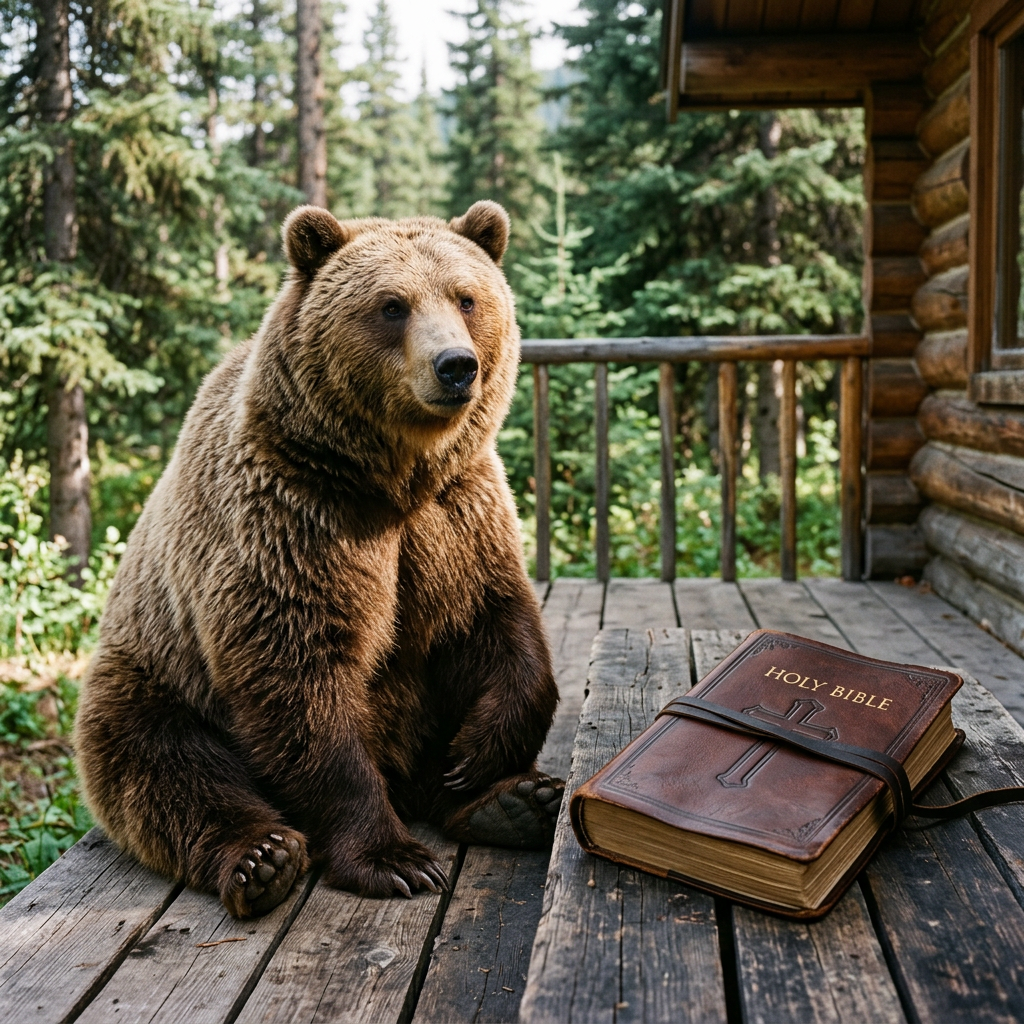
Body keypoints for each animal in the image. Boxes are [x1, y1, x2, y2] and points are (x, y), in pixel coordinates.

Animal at [74, 200, 561, 918]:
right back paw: (263, 857)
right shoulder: (294, 521)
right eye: (392, 305)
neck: (391, 480)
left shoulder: (456, 516)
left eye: (467, 297)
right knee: (162, 763)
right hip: (152, 671)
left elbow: (495, 623)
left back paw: (514, 801)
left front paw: (476, 756)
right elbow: (300, 678)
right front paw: (393, 859)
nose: (456, 366)